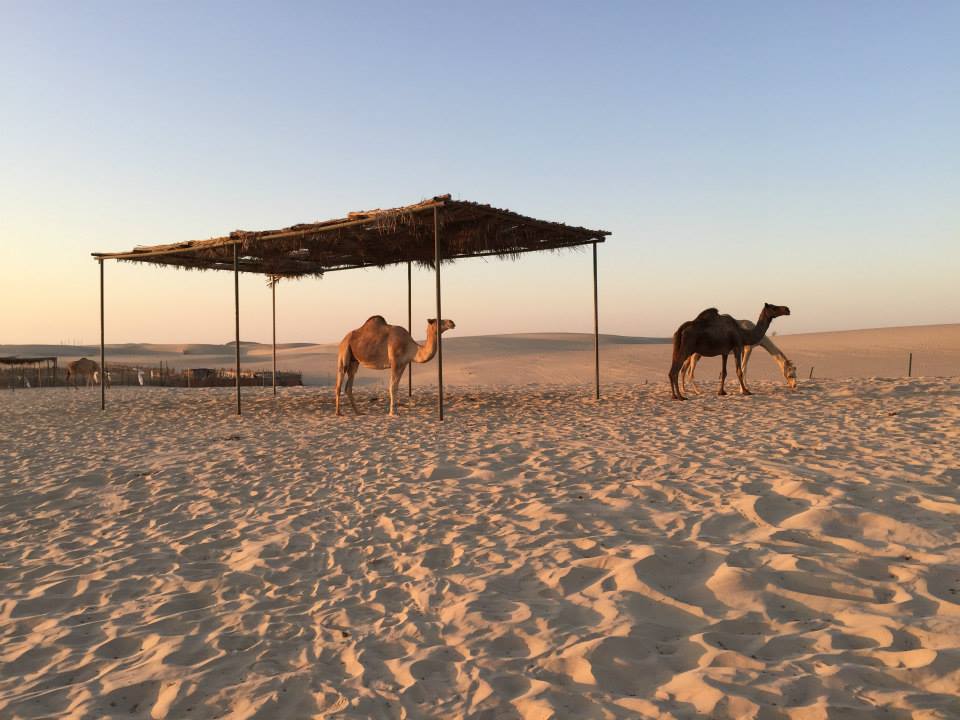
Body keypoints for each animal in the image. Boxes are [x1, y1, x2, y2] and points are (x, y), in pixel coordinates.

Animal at [94, 194, 612, 420]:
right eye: (438, 317)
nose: (455, 318)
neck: (413, 345)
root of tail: (344, 335)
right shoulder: (395, 360)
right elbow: (391, 388)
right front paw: (394, 413)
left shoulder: (398, 363)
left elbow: (393, 386)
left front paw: (393, 410)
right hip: (344, 353)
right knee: (340, 381)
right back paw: (343, 412)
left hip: (355, 358)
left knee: (349, 382)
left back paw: (356, 411)